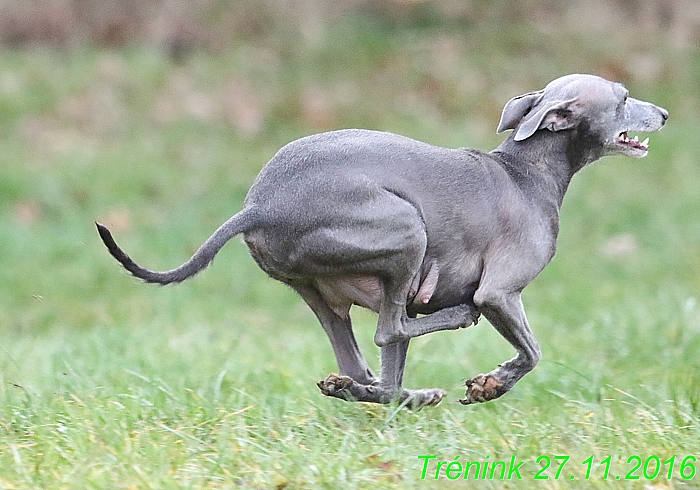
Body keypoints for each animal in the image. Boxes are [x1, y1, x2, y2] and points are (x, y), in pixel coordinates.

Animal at [97, 72, 668, 410]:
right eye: (622, 98)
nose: (664, 114)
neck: (526, 172)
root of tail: (260, 205)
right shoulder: (500, 293)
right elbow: (531, 352)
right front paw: (492, 384)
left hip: (322, 292)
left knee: (376, 365)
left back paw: (367, 388)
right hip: (406, 231)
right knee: (393, 328)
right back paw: (439, 336)